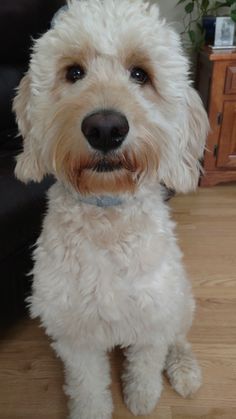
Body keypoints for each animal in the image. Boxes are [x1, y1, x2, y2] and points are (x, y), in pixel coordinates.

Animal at [13, 1, 208, 418]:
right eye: (73, 73)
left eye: (140, 74)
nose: (105, 128)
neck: (107, 216)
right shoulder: (76, 334)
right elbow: (87, 385)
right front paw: (93, 411)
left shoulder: (153, 318)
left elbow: (146, 363)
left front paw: (142, 397)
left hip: (180, 301)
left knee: (179, 338)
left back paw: (184, 371)